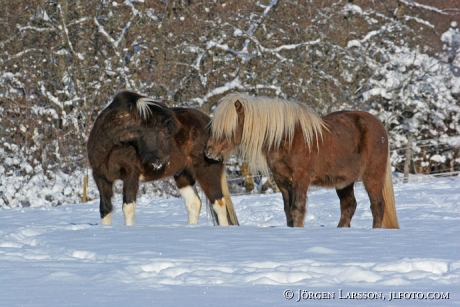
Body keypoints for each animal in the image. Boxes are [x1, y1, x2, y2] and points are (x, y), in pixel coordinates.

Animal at [86, 90, 239, 227]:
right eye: (166, 134)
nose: (165, 161)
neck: (109, 148)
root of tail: (213, 126)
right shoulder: (101, 177)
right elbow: (105, 208)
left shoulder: (131, 175)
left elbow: (128, 207)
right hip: (183, 175)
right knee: (194, 204)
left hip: (207, 172)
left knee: (219, 204)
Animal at [206, 92, 398, 230]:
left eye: (227, 127)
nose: (208, 151)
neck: (287, 138)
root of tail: (379, 127)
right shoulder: (282, 181)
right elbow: (288, 211)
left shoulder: (301, 178)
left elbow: (297, 208)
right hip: (345, 182)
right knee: (349, 206)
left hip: (372, 176)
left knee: (377, 205)